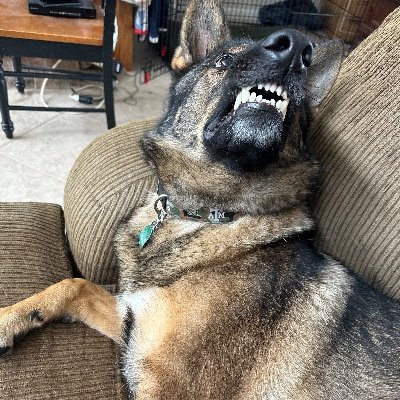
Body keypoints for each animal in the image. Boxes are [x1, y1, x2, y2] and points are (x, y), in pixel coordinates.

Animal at [0, 1, 400, 398]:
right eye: (224, 60)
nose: (298, 46)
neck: (206, 212)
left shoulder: (172, 385)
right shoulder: (133, 324)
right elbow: (74, 284)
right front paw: (9, 318)